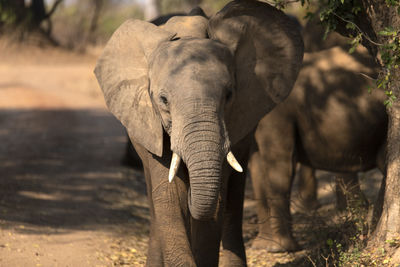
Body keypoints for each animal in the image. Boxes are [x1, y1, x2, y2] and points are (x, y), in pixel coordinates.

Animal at [94, 1, 304, 266]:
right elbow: (169, 194)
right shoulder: (153, 123)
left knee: (234, 195)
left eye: (229, 95)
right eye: (163, 100)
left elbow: (218, 201)